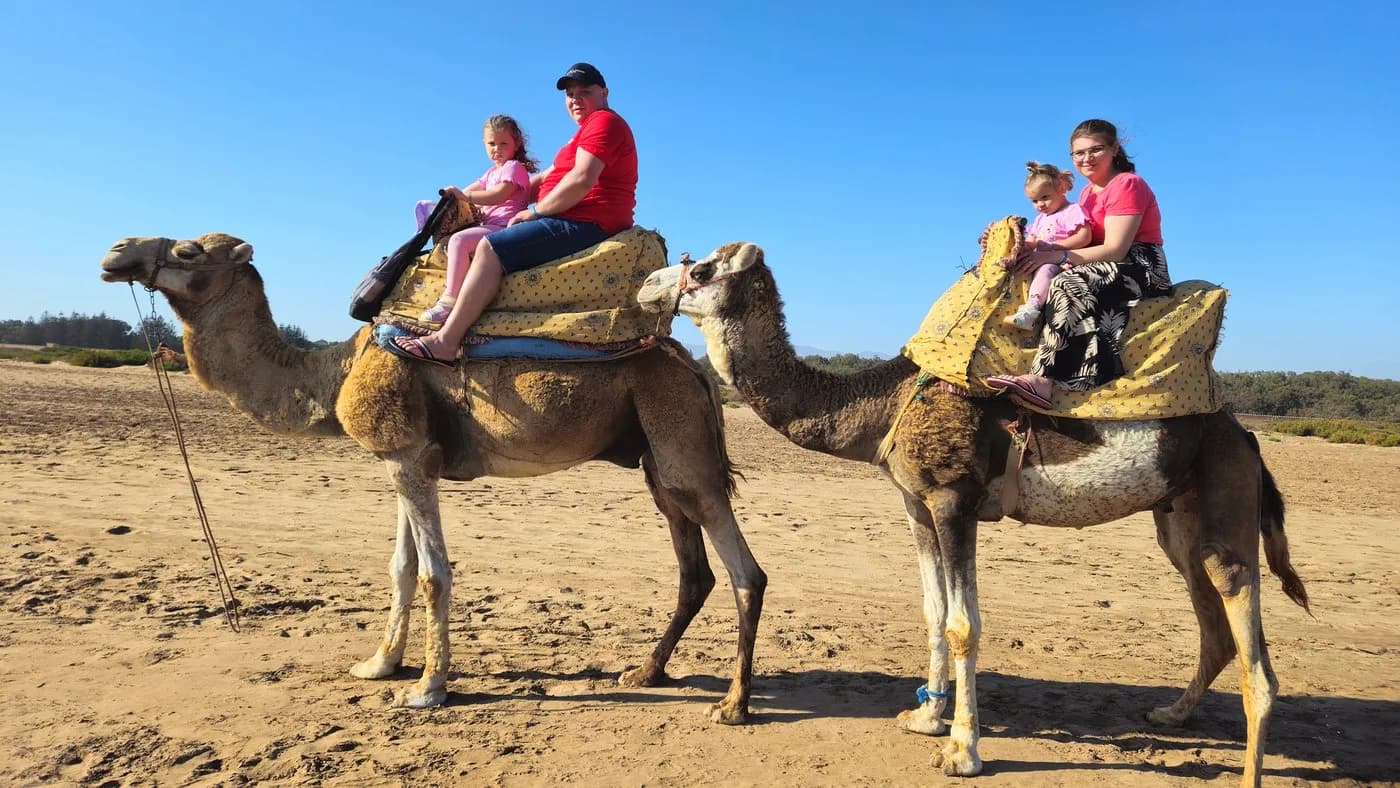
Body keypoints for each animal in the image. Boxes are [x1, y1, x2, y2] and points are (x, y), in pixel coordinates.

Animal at [99, 232, 767, 723]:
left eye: (190, 250)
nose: (116, 252)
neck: (333, 371)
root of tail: (695, 368)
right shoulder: (407, 458)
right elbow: (399, 567)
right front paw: (378, 665)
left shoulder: (406, 455)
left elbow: (434, 574)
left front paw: (427, 688)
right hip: (657, 460)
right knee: (694, 569)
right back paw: (646, 672)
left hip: (681, 444)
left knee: (745, 571)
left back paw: (733, 706)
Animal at [637, 242, 1310, 786]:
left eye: (702, 268)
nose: (647, 284)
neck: (883, 404)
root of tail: (1247, 436)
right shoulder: (915, 502)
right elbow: (934, 611)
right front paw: (926, 717)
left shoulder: (952, 498)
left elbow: (964, 624)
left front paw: (963, 751)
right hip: (1178, 518)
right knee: (1212, 618)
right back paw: (1169, 713)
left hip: (1227, 505)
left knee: (1255, 651)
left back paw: (1246, 770)